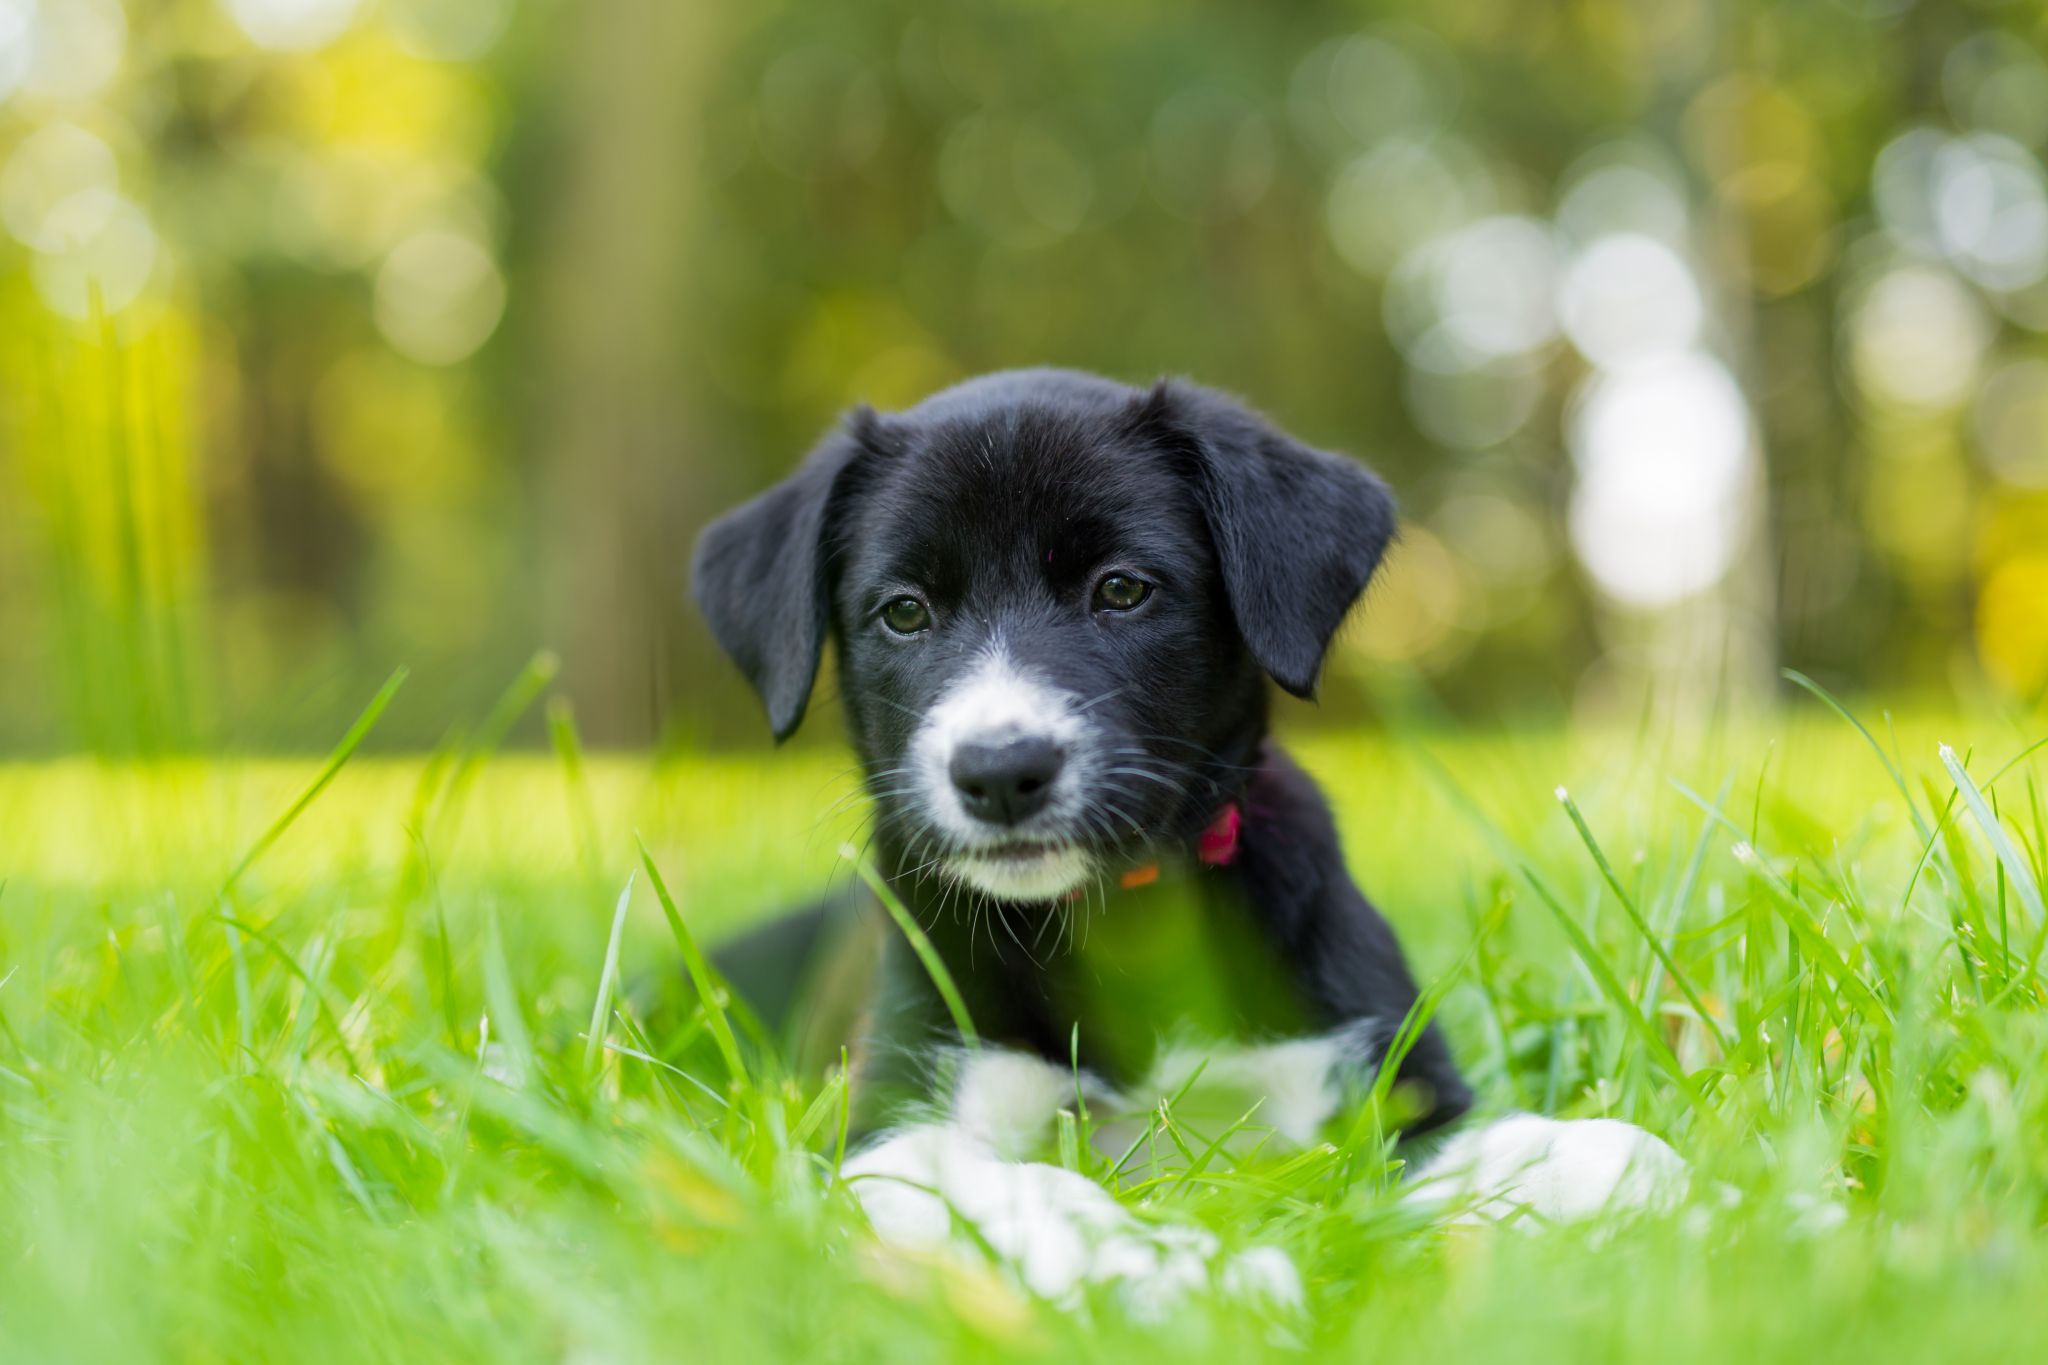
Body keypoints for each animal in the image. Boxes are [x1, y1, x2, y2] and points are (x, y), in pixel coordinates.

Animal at [688, 368, 1679, 1309]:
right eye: (903, 610)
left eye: (1123, 589)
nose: (1001, 769)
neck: (1124, 919)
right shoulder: (888, 1131)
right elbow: (1022, 1188)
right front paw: (1163, 1263)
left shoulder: (1381, 1081)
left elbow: (1486, 1145)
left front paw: (1616, 1164)